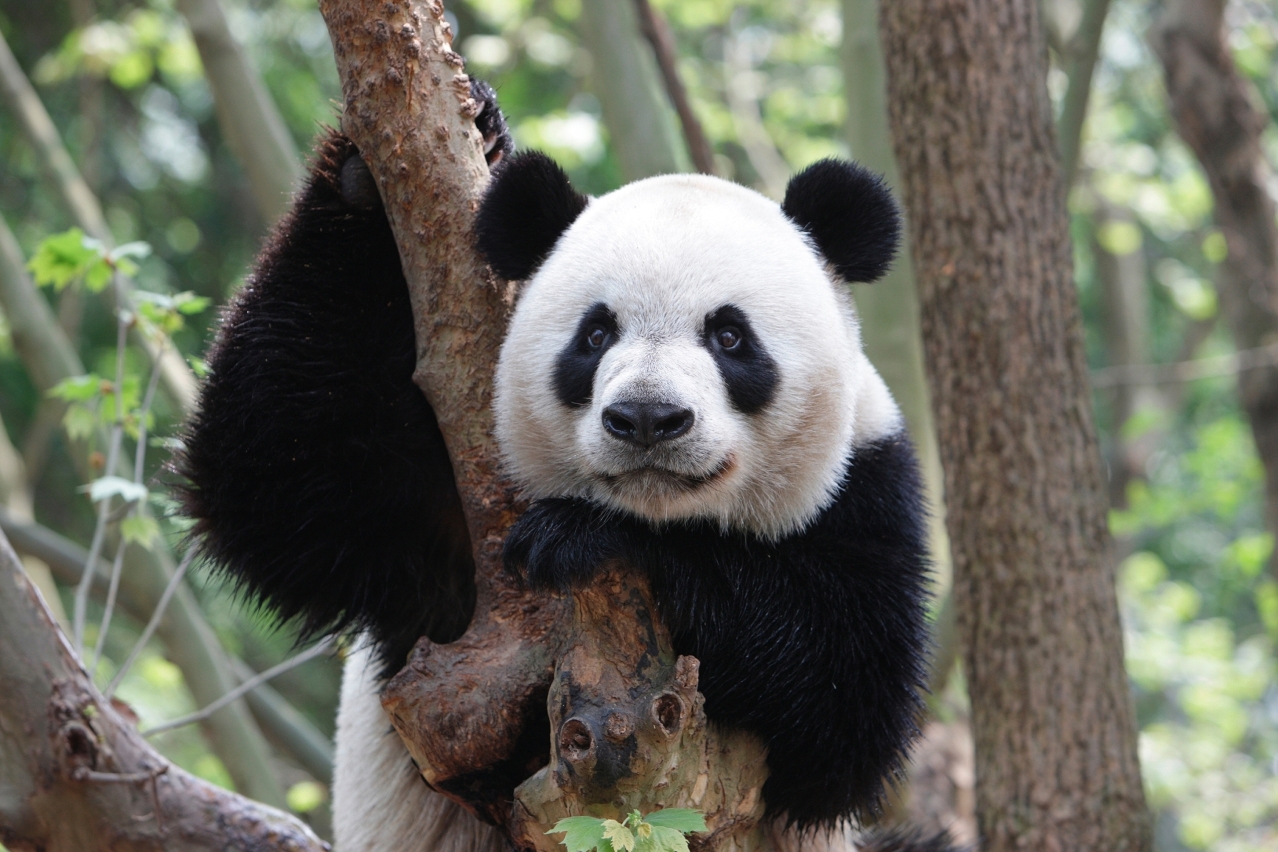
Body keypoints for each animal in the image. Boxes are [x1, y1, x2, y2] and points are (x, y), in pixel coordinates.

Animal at [176, 79, 943, 851]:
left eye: (730, 336)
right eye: (595, 333)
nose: (647, 418)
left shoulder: (869, 487)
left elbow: (843, 695)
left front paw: (588, 537)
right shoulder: (439, 519)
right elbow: (282, 488)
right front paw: (392, 161)